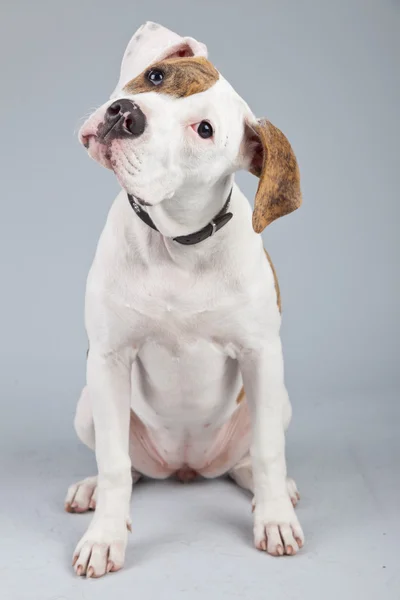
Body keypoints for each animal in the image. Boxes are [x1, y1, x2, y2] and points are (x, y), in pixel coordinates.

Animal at [65, 22, 304, 576]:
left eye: (205, 131)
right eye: (155, 75)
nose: (125, 114)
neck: (175, 244)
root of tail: (186, 467)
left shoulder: (261, 355)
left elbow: (268, 451)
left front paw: (275, 521)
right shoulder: (108, 359)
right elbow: (113, 462)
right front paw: (104, 538)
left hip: (275, 401)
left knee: (248, 461)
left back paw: (274, 493)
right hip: (89, 405)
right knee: (129, 469)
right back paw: (91, 491)